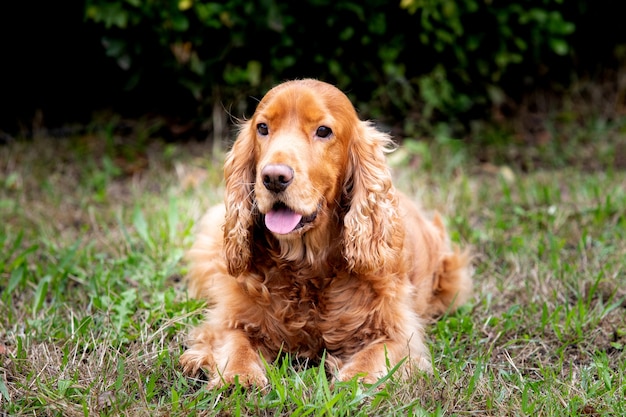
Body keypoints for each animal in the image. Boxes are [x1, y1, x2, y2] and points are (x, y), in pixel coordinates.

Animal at [178, 79, 470, 386]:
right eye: (263, 128)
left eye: (323, 131)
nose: (273, 177)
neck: (307, 266)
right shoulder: (232, 318)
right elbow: (235, 343)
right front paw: (238, 375)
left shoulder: (398, 332)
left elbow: (375, 354)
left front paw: (355, 379)